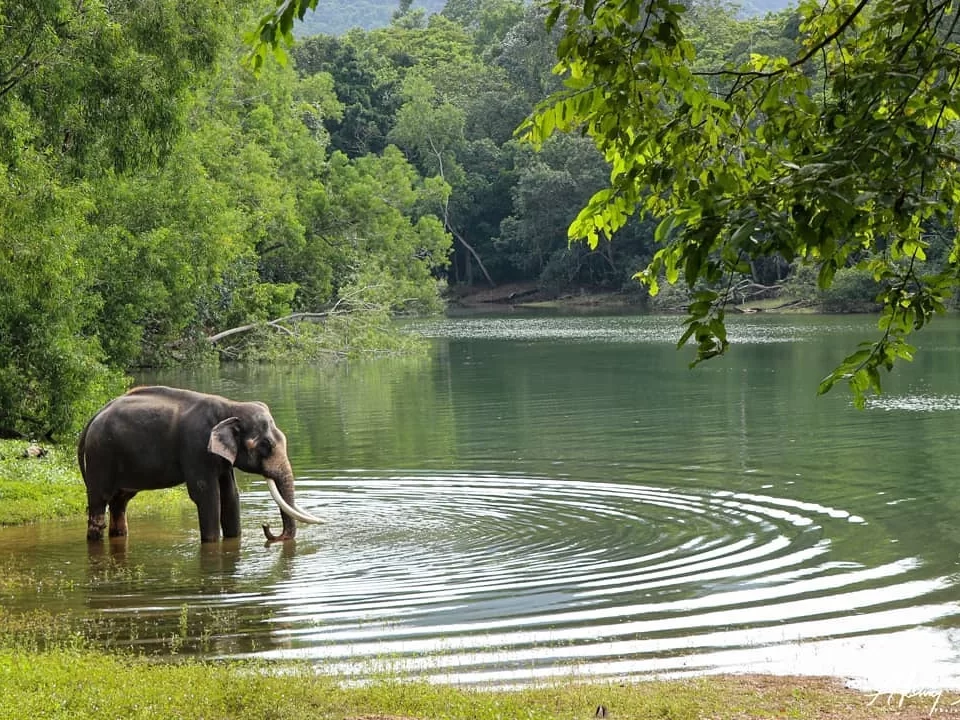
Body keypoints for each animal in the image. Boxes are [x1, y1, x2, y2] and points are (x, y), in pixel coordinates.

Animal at [77, 385, 321, 543]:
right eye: (265, 445)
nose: (267, 527)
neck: (230, 406)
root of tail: (92, 418)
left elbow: (230, 494)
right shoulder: (196, 448)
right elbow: (207, 495)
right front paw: (212, 542)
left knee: (120, 501)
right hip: (101, 456)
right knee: (99, 501)